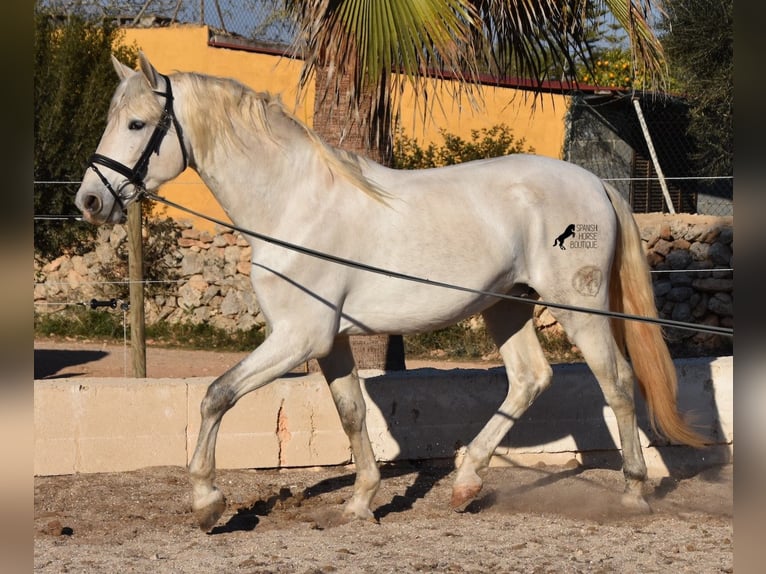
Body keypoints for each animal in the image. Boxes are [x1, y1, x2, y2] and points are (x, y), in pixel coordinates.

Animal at [75, 53, 704, 532]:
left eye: (136, 125)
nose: (90, 201)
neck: (293, 204)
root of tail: (594, 181)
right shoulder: (328, 342)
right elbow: (351, 413)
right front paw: (359, 502)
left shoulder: (297, 338)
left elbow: (216, 395)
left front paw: (207, 503)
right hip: (507, 305)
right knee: (531, 378)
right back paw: (465, 483)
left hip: (580, 308)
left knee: (616, 382)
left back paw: (632, 493)